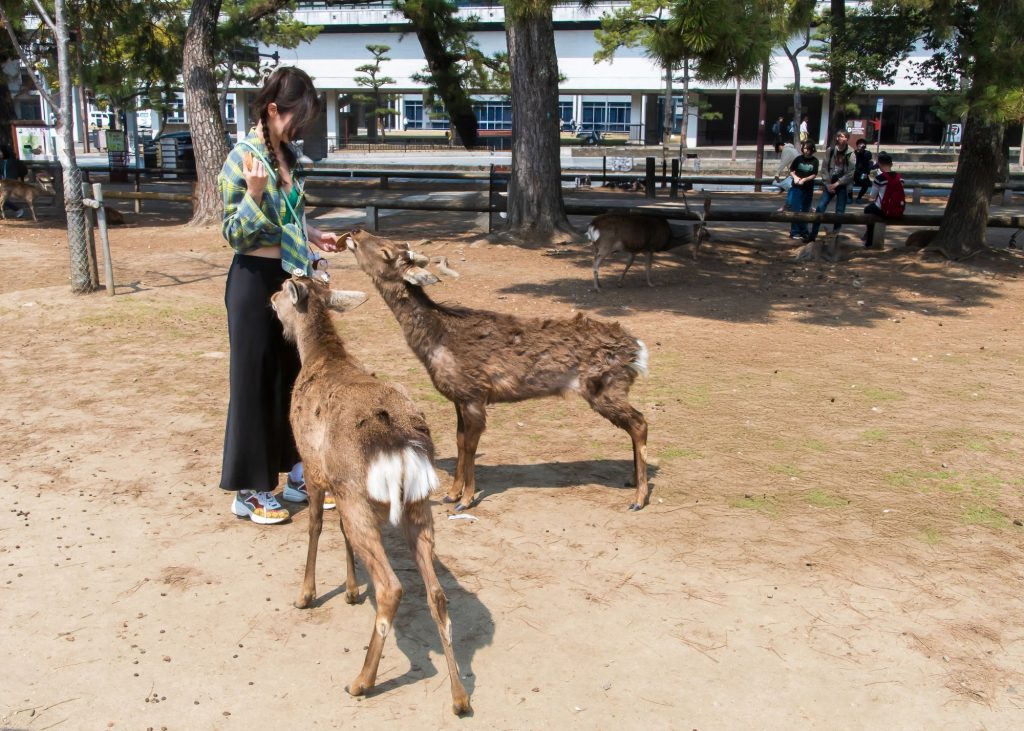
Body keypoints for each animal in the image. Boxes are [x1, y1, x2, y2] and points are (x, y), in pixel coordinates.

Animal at [270, 277, 471, 716]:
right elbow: (341, 535)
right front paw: (349, 590)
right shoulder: (340, 489)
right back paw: (460, 698)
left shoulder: (313, 466)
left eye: (283, 287)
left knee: (391, 588)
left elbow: (315, 526)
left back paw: (361, 681)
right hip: (416, 505)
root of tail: (400, 448)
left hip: (361, 498)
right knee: (437, 593)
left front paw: (306, 595)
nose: (271, 298)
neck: (320, 358)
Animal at [343, 229, 652, 512]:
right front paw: (450, 494)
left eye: (386, 251)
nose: (356, 232)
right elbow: (459, 441)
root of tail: (638, 351)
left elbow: (470, 445)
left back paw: (638, 498)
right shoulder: (458, 397)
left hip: (605, 386)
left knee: (640, 422)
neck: (436, 343)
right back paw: (632, 481)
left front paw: (465, 500)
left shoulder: (474, 393)